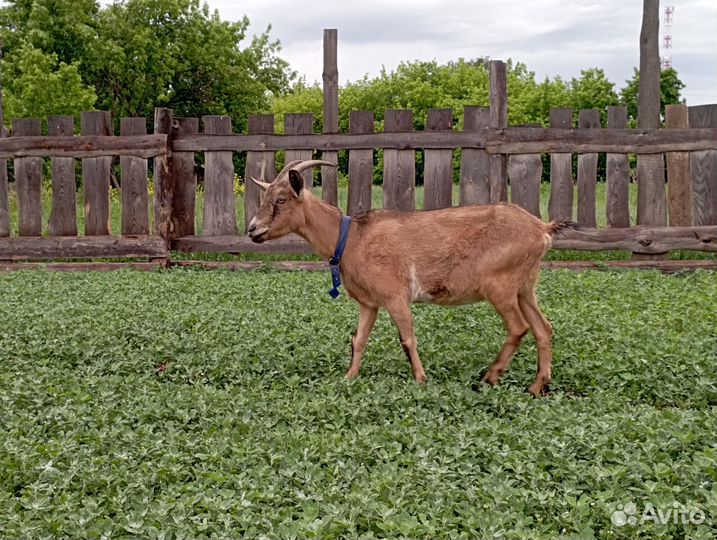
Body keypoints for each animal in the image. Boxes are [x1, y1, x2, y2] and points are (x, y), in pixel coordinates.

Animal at [249, 158, 572, 394]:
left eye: (281, 199)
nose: (253, 229)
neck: (351, 238)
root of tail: (541, 228)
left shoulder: (395, 295)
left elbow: (407, 339)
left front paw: (420, 380)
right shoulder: (369, 302)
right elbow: (358, 339)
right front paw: (349, 377)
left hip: (500, 284)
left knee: (518, 327)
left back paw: (490, 377)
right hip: (525, 286)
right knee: (543, 328)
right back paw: (537, 386)